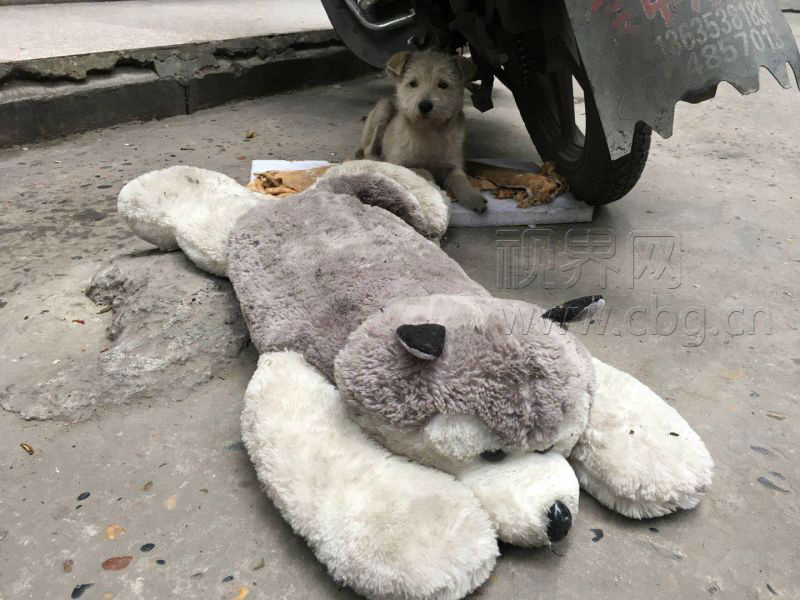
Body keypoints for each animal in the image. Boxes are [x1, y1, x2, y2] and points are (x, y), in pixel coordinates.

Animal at [356, 50, 487, 214]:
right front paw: (431, 183)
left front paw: (472, 196)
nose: (424, 106)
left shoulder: (453, 165)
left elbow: (460, 178)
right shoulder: (400, 163)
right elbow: (423, 170)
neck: (428, 129)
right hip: (384, 106)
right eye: (413, 83)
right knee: (368, 152)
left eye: (443, 84)